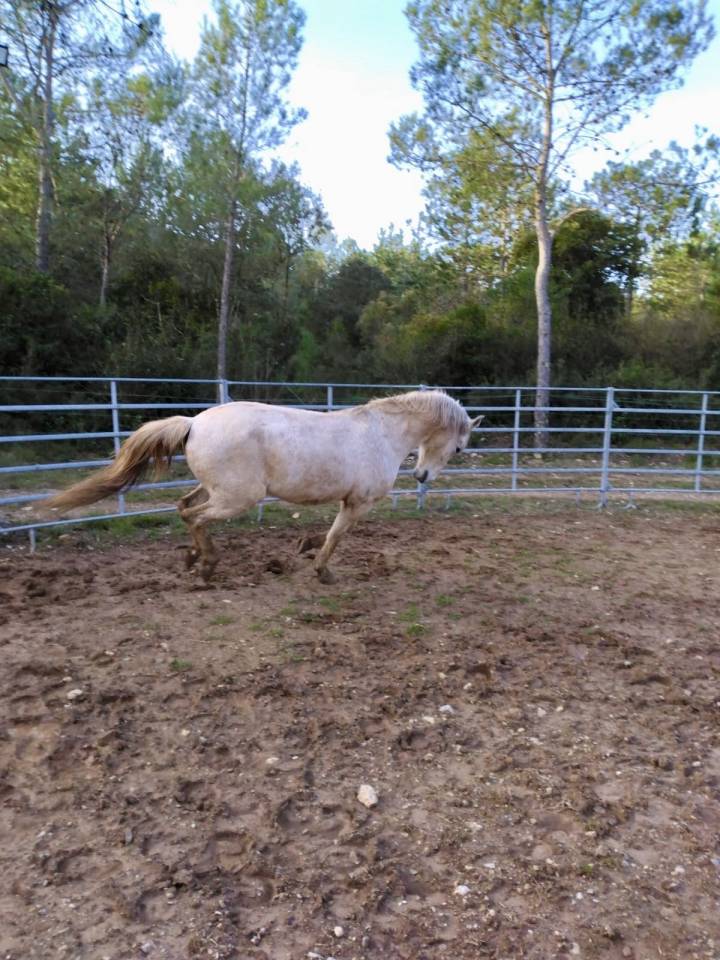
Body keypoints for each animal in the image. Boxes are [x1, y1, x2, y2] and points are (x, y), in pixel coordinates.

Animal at [43, 390, 482, 584]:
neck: (382, 434)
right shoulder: (359, 502)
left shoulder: (349, 501)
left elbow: (329, 534)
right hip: (237, 498)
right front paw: (322, 570)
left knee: (183, 506)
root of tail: (194, 423)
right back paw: (206, 565)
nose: (422, 477)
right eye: (459, 447)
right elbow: (335, 536)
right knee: (194, 516)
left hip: (217, 489)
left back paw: (191, 558)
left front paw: (306, 550)